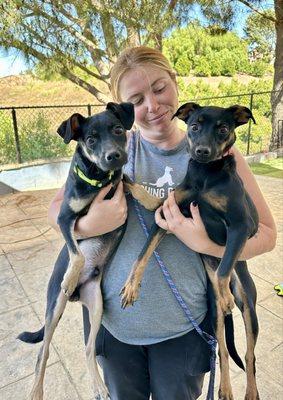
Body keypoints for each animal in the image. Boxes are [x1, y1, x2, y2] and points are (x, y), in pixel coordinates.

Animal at [18, 103, 162, 400]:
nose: (114, 156)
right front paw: (71, 275)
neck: (99, 180)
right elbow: (77, 253)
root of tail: (76, 297)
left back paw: (97, 385)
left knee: (88, 348)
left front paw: (149, 199)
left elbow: (129, 180)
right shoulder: (64, 218)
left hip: (96, 306)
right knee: (43, 351)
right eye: (91, 140)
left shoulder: (117, 180)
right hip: (54, 307)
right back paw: (36, 391)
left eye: (118, 130)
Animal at [121, 104, 260, 400]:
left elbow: (222, 269)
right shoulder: (167, 214)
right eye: (195, 126)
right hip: (216, 319)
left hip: (249, 309)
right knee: (221, 350)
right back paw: (225, 389)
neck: (204, 176)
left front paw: (225, 293)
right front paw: (131, 287)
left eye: (223, 128)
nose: (202, 152)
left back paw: (250, 391)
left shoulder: (242, 225)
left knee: (249, 353)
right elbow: (142, 253)